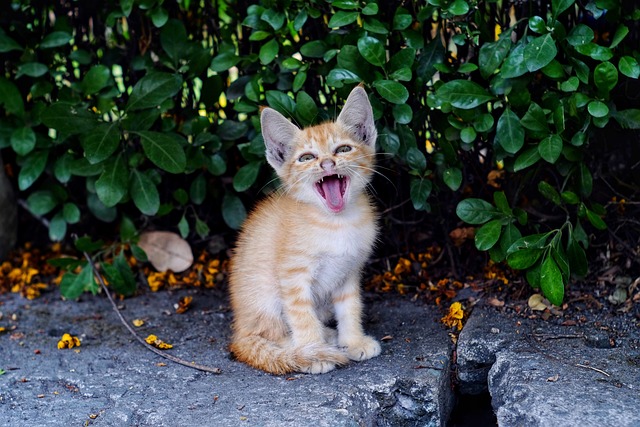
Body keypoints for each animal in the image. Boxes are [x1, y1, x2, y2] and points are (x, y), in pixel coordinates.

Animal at [229, 87, 380, 374]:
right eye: (307, 158)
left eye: (343, 149)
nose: (327, 164)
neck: (335, 223)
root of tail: (239, 330)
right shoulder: (293, 275)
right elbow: (301, 315)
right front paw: (313, 351)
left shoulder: (349, 270)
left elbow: (350, 307)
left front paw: (353, 341)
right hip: (263, 295)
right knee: (268, 333)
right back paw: (305, 347)